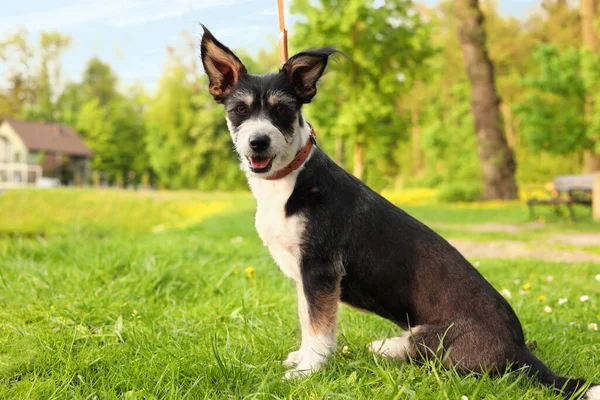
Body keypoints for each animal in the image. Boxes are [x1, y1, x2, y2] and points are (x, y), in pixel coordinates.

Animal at [199, 26, 596, 398]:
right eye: (240, 110)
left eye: (282, 110)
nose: (258, 142)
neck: (289, 181)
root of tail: (520, 350)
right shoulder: (304, 276)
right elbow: (307, 320)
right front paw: (303, 357)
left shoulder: (320, 270)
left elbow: (319, 327)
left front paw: (308, 369)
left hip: (436, 340)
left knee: (424, 356)